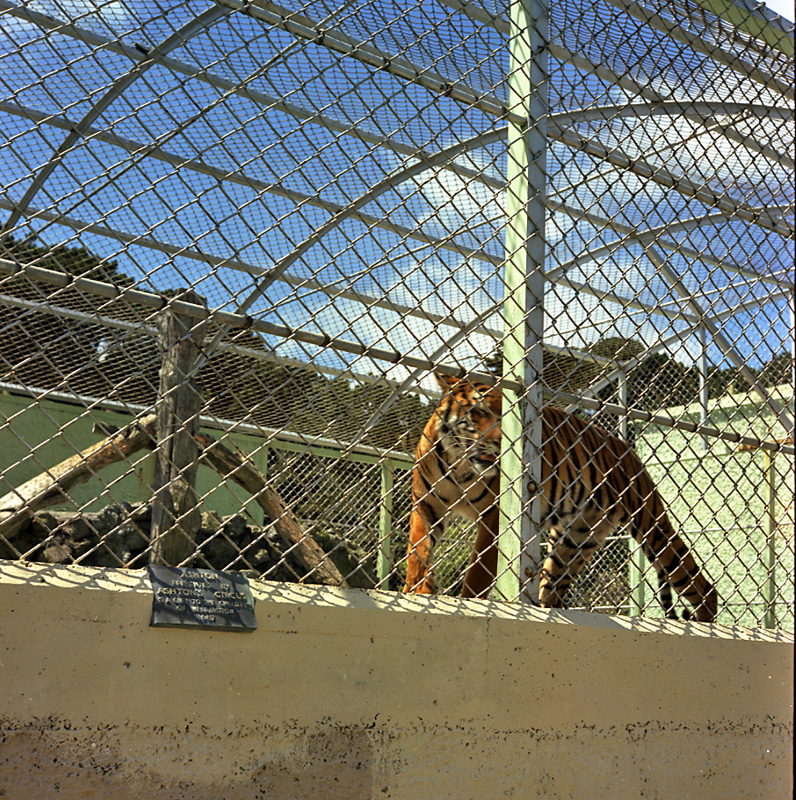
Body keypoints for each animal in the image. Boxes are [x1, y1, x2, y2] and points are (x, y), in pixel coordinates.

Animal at [402, 372, 718, 623]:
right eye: (478, 411)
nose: (502, 442)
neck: (461, 464)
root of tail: (626, 449)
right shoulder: (426, 503)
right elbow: (417, 549)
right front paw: (417, 592)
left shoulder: (494, 517)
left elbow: (479, 571)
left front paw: (470, 604)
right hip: (574, 541)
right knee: (553, 589)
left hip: (652, 528)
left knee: (701, 583)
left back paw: (705, 622)